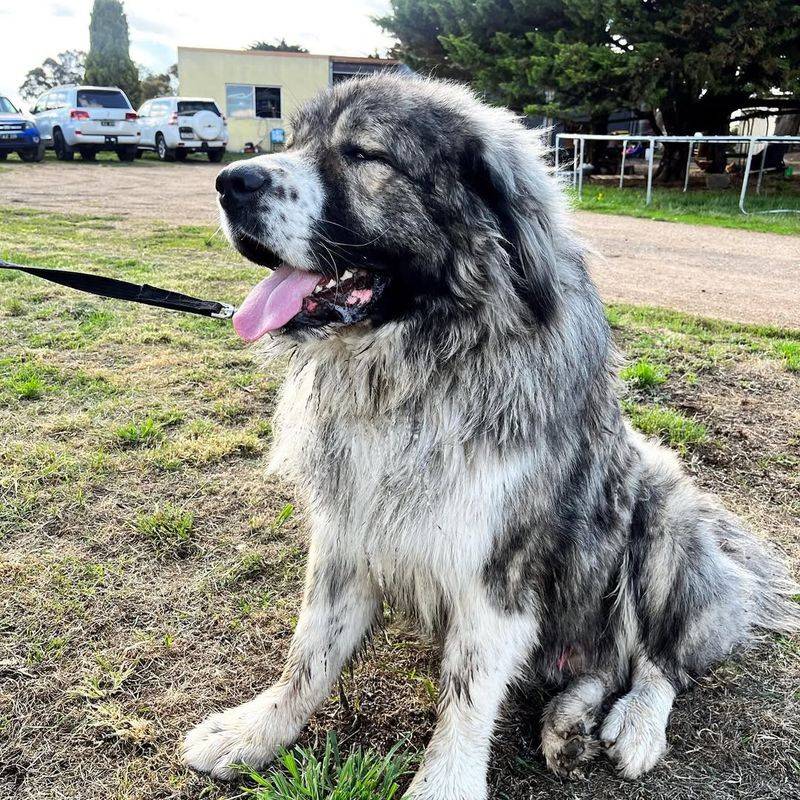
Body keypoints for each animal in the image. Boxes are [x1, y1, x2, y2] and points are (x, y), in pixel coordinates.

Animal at [183, 73, 800, 792]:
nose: (229, 181)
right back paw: (568, 722)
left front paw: (442, 786)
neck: (421, 368)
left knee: (656, 660)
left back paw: (634, 726)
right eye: (297, 139)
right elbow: (308, 654)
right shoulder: (346, 536)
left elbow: (468, 693)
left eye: (364, 154)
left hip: (662, 518)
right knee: (602, 663)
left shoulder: (495, 569)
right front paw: (256, 730)